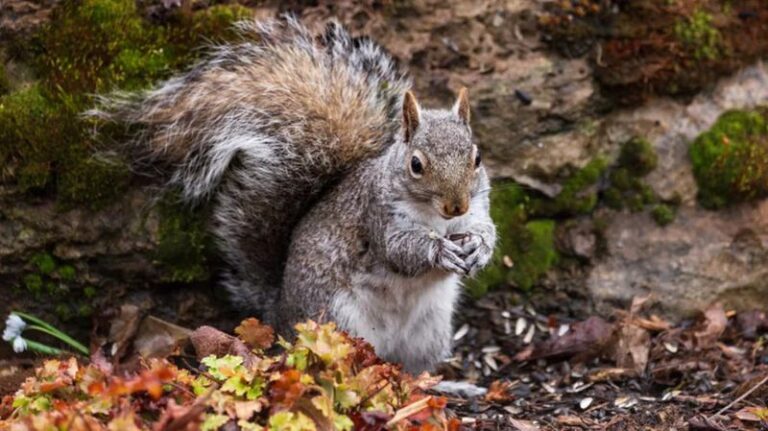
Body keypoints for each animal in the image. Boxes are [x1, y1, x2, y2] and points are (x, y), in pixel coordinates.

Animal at [91, 16, 497, 373]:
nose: (455, 205)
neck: (437, 218)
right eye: (416, 165)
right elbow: (400, 250)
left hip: (429, 332)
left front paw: (477, 247)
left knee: (412, 370)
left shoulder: (478, 207)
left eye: (476, 158)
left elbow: (487, 229)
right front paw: (439, 250)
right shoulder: (378, 215)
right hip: (338, 322)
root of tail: (280, 313)